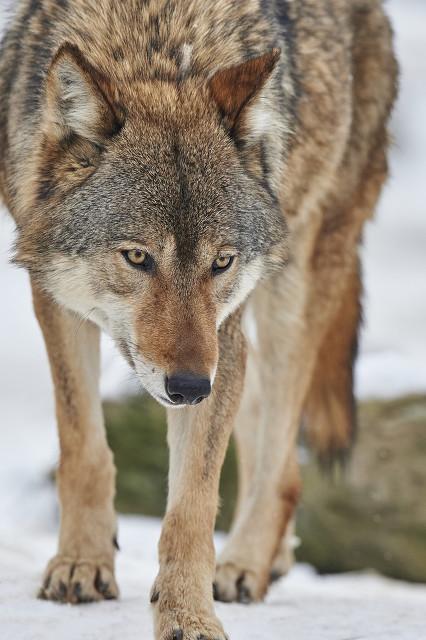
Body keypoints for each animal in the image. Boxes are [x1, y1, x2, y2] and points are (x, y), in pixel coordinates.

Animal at [0, 0, 400, 636]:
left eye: (221, 262)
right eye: (138, 257)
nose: (188, 388)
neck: (157, 44)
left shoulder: (222, 331)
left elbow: (191, 507)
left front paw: (188, 617)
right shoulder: (56, 295)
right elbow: (83, 447)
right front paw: (81, 565)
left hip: (296, 281)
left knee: (282, 464)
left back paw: (246, 565)